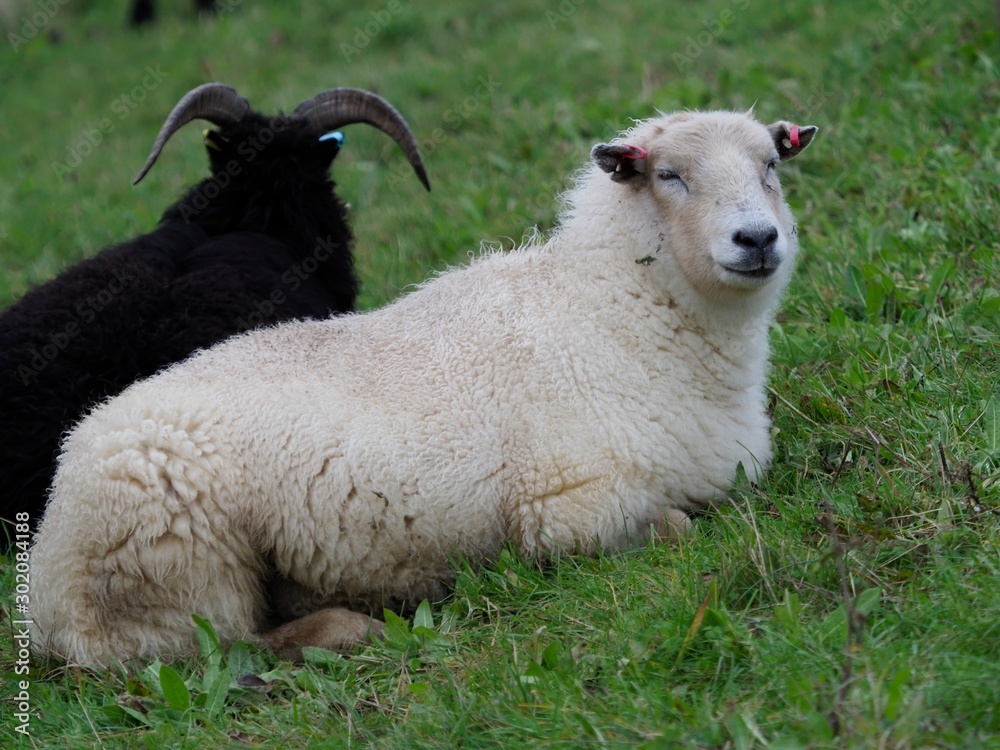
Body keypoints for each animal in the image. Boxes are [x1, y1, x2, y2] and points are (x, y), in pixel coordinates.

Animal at [29, 109, 816, 666]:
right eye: (670, 175)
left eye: (770, 165)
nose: (757, 239)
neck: (613, 307)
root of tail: (47, 578)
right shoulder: (564, 510)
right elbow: (677, 527)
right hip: (180, 569)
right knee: (208, 648)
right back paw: (352, 627)